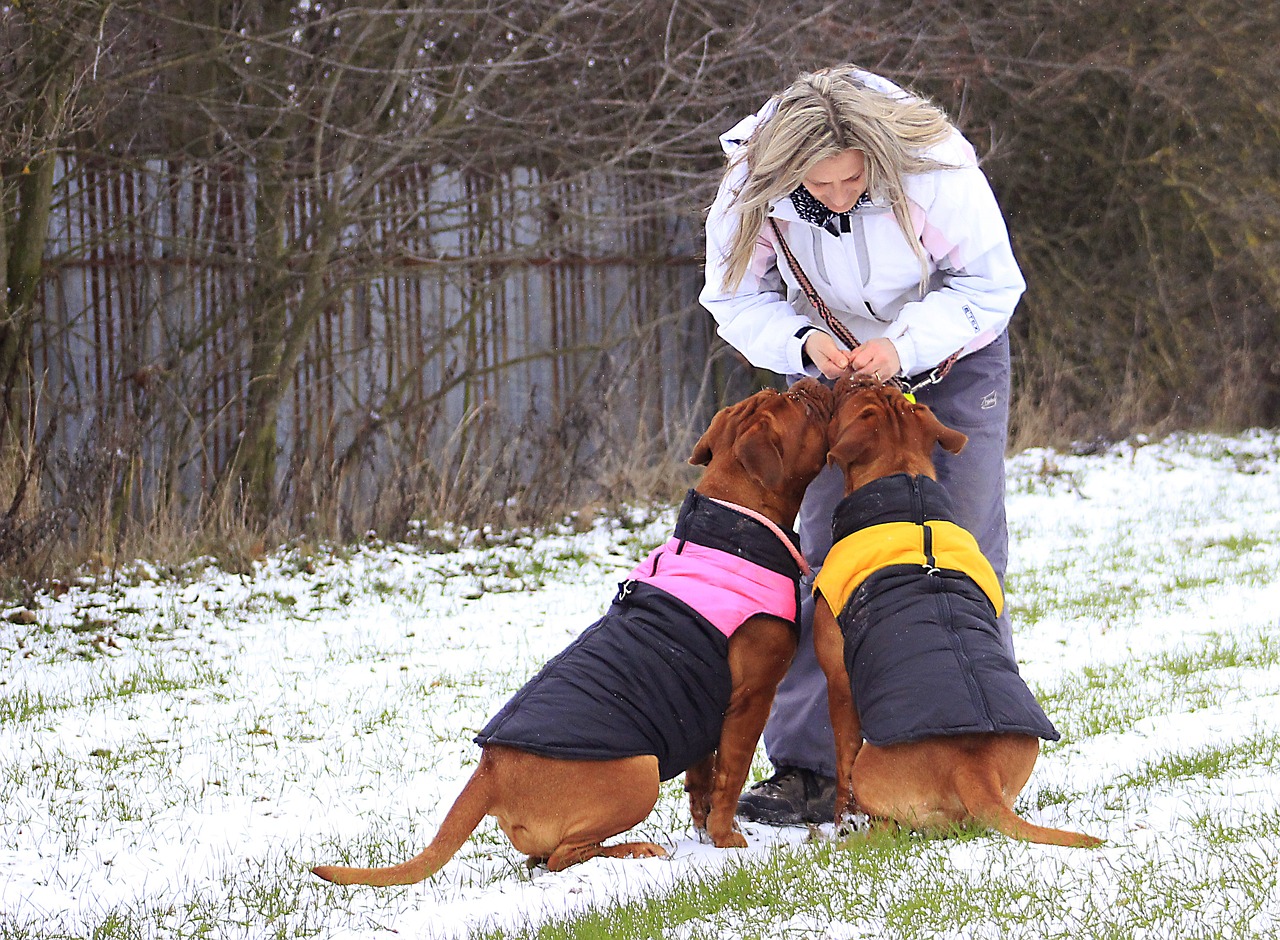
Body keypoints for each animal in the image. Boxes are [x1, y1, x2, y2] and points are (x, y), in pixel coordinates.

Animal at [308, 379, 829, 886]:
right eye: (798, 404)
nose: (813, 382)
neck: (732, 521)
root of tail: (490, 771)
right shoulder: (750, 701)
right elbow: (730, 776)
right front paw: (726, 839)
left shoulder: (703, 708)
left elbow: (702, 780)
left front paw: (704, 831)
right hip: (638, 773)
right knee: (562, 856)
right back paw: (634, 850)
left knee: (542, 858)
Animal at [808, 376, 1100, 855]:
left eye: (854, 394)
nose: (860, 372)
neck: (908, 490)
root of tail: (972, 768)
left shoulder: (840, 683)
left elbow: (841, 760)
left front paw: (839, 821)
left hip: (872, 767)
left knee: (898, 823)